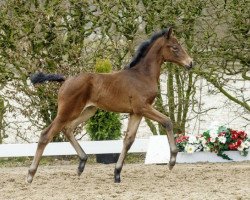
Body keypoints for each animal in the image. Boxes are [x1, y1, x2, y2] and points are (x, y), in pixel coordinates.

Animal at [27, 27, 193, 184]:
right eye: (175, 47)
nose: (190, 63)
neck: (142, 75)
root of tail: (66, 79)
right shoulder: (143, 107)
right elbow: (167, 121)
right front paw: (172, 161)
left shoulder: (136, 112)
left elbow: (128, 140)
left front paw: (117, 173)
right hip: (67, 112)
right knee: (46, 135)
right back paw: (30, 174)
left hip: (88, 111)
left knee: (67, 129)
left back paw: (82, 164)